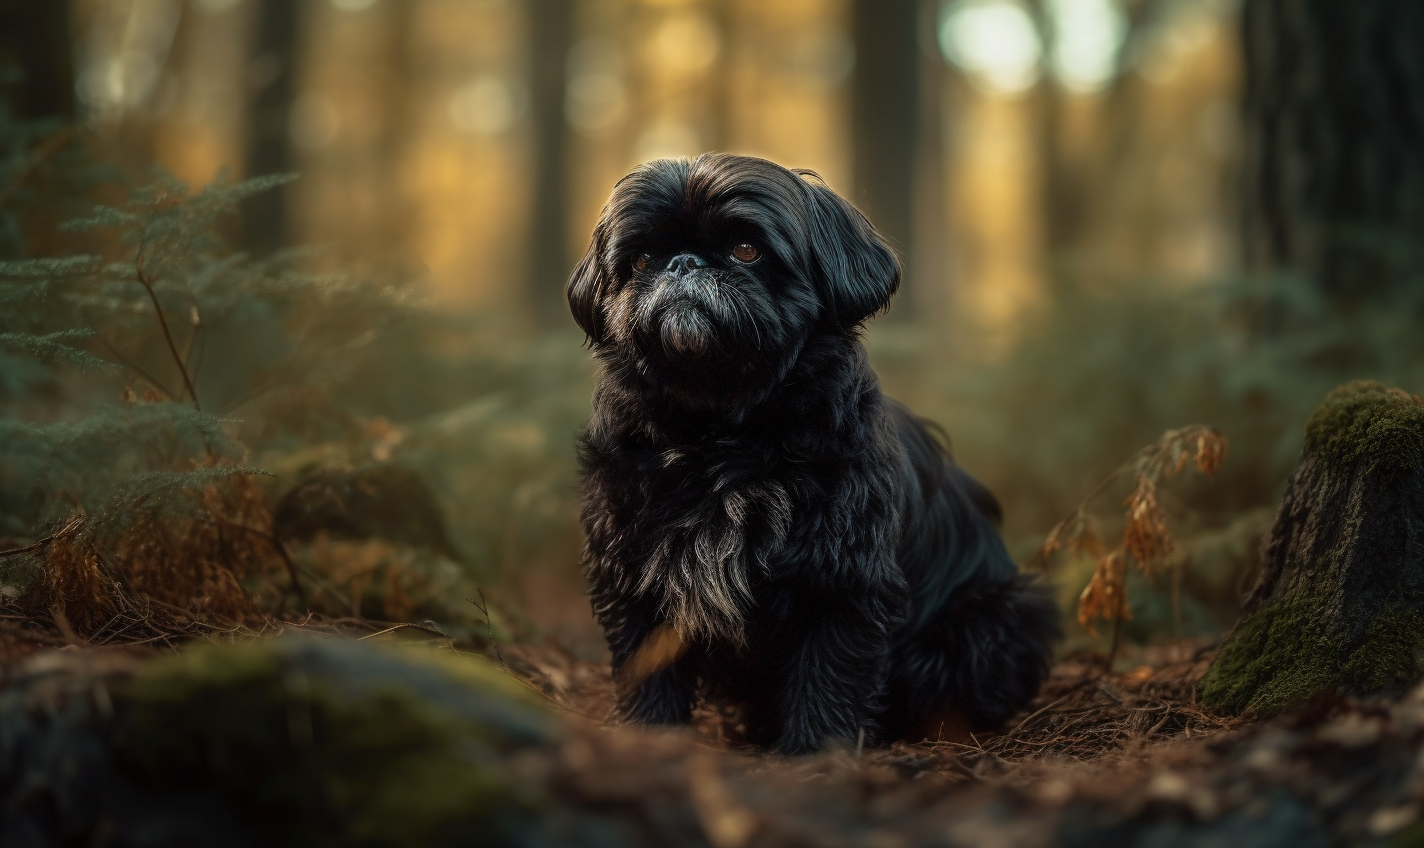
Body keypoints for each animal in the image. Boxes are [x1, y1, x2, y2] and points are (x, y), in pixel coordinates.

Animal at [566, 154, 1059, 756]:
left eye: (746, 250)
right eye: (642, 260)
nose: (682, 264)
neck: (722, 432)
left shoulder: (840, 579)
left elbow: (829, 673)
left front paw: (816, 754)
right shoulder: (633, 570)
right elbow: (647, 670)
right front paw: (652, 739)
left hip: (990, 619)